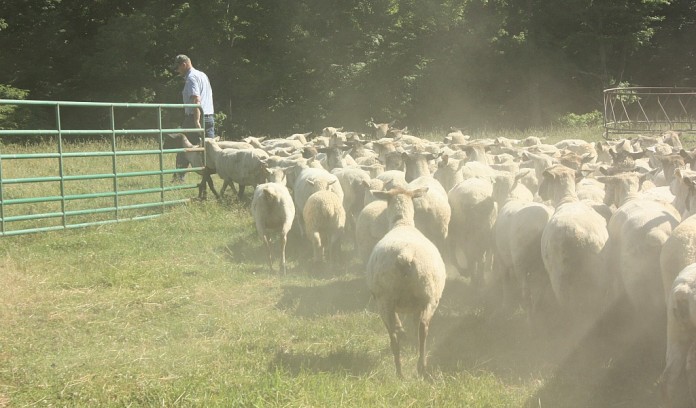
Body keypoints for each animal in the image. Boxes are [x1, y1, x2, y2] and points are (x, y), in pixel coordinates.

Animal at [364, 187, 446, 380]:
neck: (402, 223)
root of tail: (405, 254)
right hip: (428, 296)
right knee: (422, 327)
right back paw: (418, 367)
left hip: (385, 300)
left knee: (395, 333)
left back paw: (401, 371)